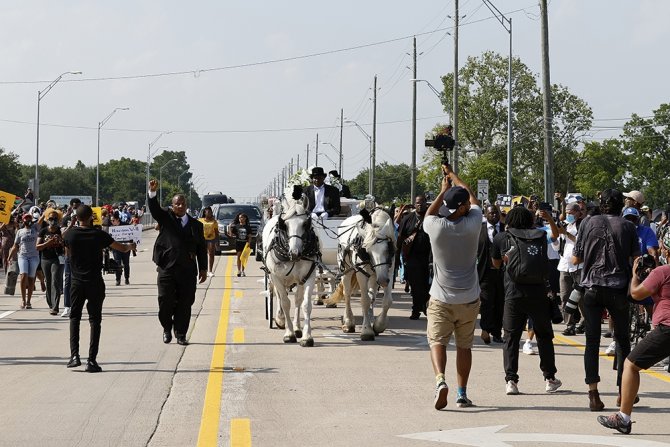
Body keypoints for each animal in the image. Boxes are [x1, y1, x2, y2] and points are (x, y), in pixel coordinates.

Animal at [262, 191, 320, 348]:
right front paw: (288, 334)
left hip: (299, 280)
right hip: (273, 278)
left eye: (305, 224)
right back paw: (280, 319)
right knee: (278, 295)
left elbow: (305, 304)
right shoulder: (276, 277)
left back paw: (297, 328)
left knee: (298, 300)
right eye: (285, 225)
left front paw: (306, 336)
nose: (295, 252)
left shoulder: (309, 276)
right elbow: (285, 303)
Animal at [338, 208, 396, 342]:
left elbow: (387, 301)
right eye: (367, 251)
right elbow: (364, 300)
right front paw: (366, 330)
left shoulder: (389, 271)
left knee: (372, 296)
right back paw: (349, 322)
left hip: (374, 276)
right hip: (346, 269)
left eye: (387, 249)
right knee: (347, 294)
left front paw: (379, 325)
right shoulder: (361, 273)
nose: (383, 280)